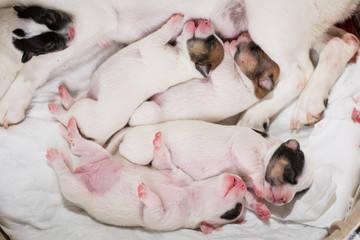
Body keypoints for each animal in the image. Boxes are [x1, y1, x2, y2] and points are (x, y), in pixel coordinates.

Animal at [46, 119, 248, 233]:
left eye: (236, 210)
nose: (243, 183)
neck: (190, 193)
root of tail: (83, 169)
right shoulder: (175, 173)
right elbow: (163, 163)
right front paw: (158, 143)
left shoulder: (170, 219)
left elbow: (154, 213)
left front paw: (145, 193)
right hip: (98, 154)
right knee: (82, 146)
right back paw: (73, 132)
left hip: (76, 189)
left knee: (66, 178)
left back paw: (56, 159)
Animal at [105, 121, 314, 220]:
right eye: (290, 174)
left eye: (299, 193)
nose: (284, 200)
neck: (268, 148)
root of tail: (131, 131)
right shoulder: (245, 147)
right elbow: (255, 166)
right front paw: (260, 186)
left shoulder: (242, 182)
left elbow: (249, 197)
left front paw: (261, 208)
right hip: (139, 152)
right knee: (125, 153)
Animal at [128, 31, 280, 126]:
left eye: (255, 51)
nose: (245, 33)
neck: (251, 87)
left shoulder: (226, 79)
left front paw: (226, 47)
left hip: (150, 111)